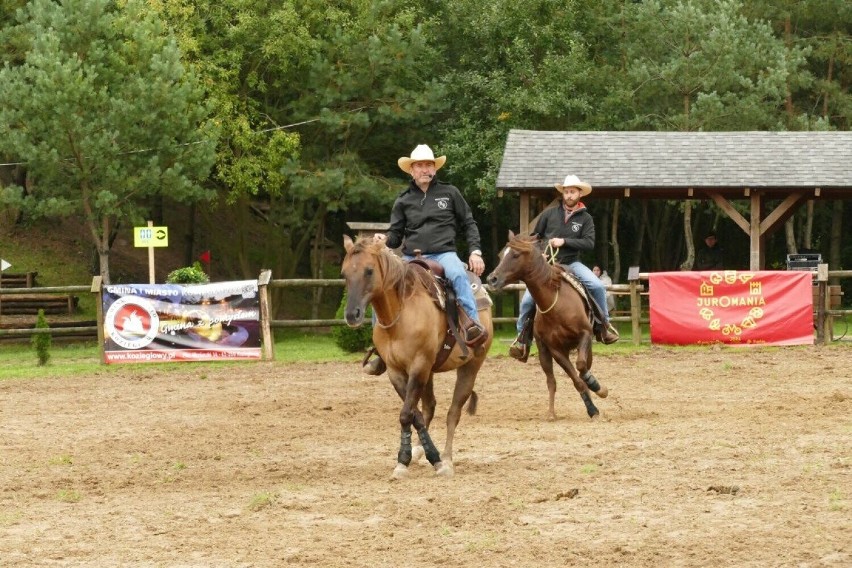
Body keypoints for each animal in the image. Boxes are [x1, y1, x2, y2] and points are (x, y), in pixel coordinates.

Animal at [342, 235, 496, 480]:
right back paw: (419, 451)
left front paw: (427, 460)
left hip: (470, 366)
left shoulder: (419, 366)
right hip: (430, 371)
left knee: (453, 413)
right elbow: (415, 414)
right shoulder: (397, 371)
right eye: (344, 273)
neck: (401, 314)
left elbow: (407, 414)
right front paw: (412, 455)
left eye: (369, 271)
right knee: (429, 407)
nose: (351, 314)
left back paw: (447, 458)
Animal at [486, 232, 604, 422]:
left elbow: (581, 367)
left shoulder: (585, 335)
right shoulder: (555, 349)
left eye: (515, 254)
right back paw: (551, 413)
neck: (556, 304)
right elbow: (576, 380)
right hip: (543, 353)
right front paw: (592, 408)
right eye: (501, 254)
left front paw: (597, 388)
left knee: (584, 366)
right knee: (551, 381)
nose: (492, 279)